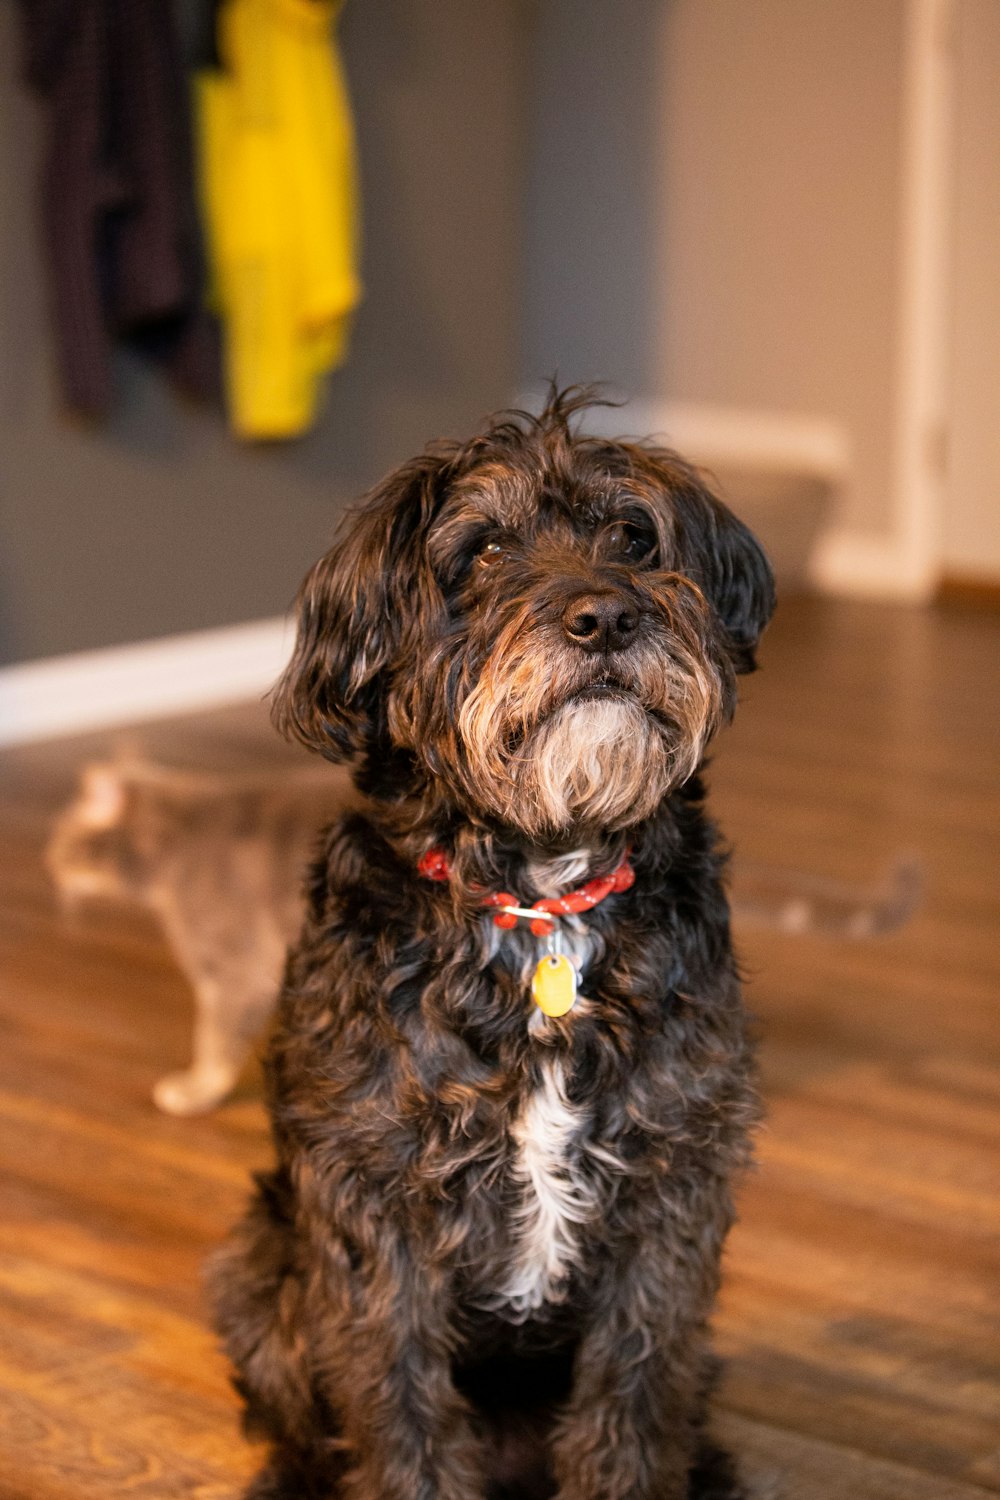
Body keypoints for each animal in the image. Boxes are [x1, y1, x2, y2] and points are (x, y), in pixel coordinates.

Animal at [209, 390, 773, 1500]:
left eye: (631, 537)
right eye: (484, 551)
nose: (608, 617)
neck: (541, 898)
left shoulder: (670, 1199)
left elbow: (631, 1407)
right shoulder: (376, 1216)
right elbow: (400, 1418)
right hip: (256, 1269)